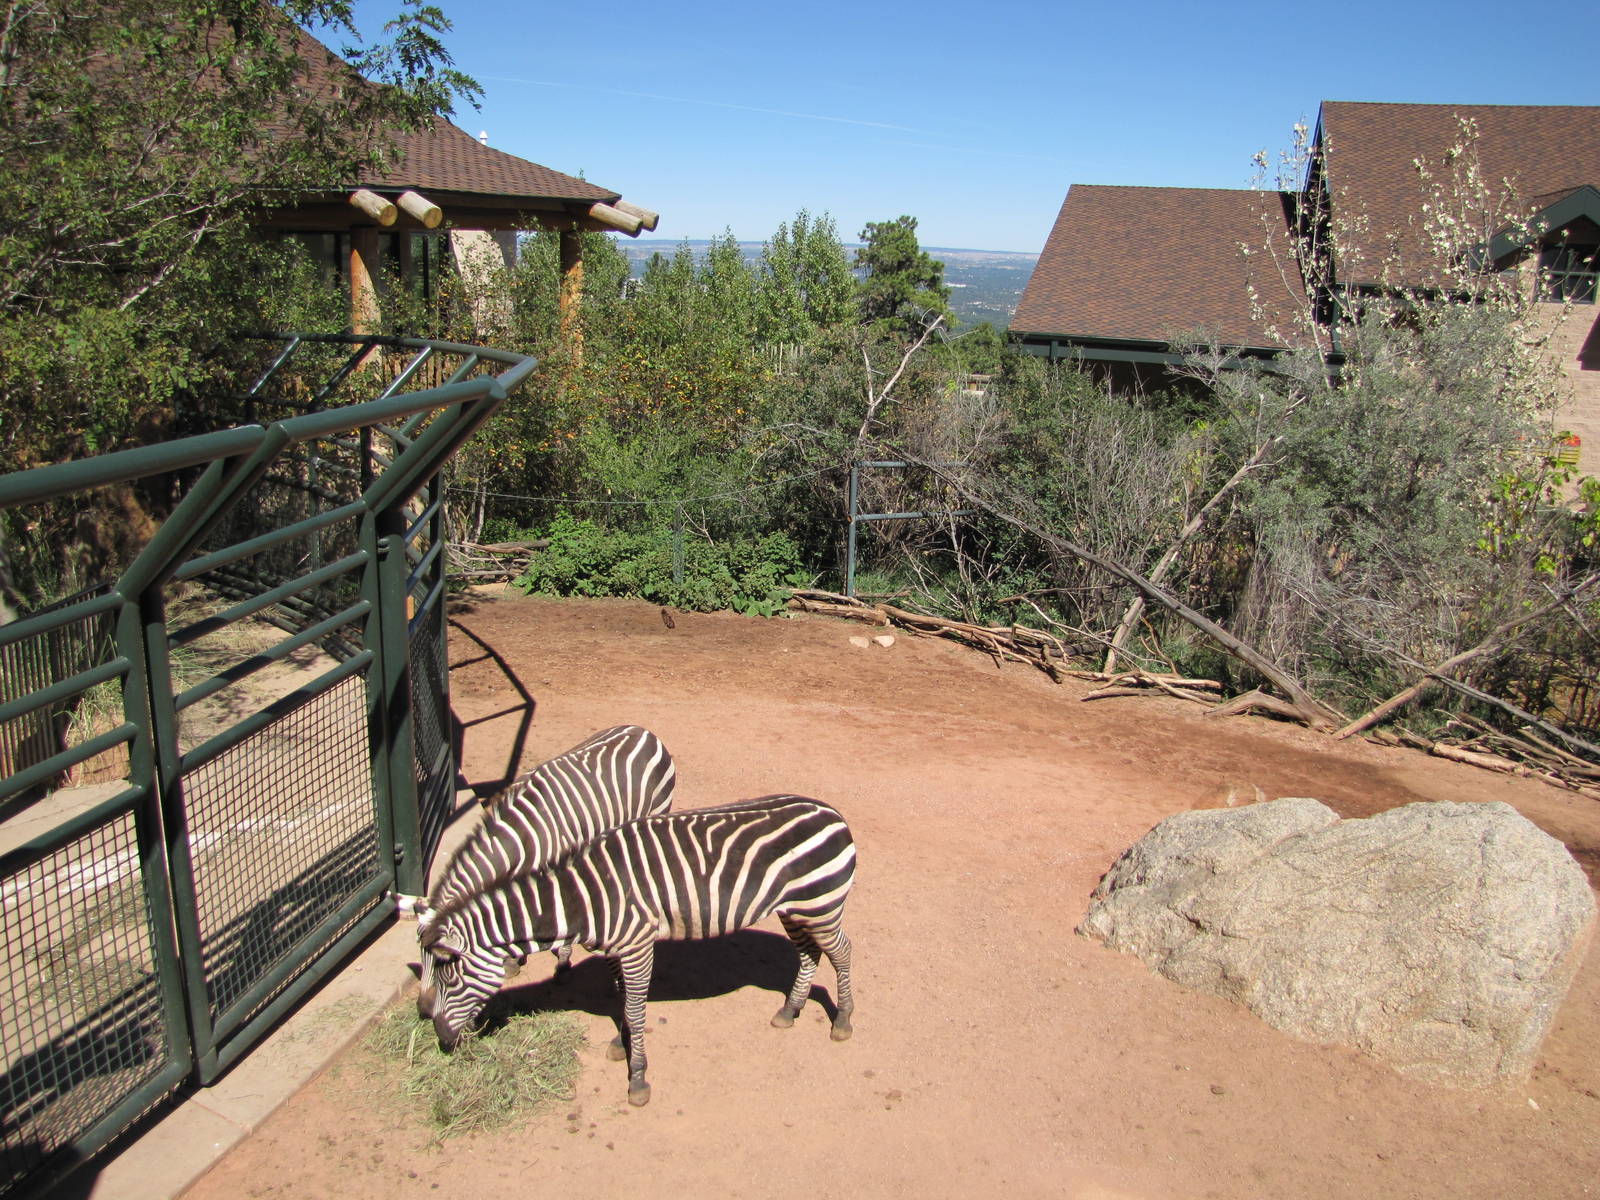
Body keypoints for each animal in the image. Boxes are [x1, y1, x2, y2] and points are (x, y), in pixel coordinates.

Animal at [416, 724, 675, 979]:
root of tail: (643, 731)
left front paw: (562, 958)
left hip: (658, 808)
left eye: (446, 962)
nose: (425, 996)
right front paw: (513, 958)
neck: (521, 839)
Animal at [417, 794, 856, 1107]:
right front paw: (621, 1041)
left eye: (449, 974)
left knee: (842, 953)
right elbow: (622, 998)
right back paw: (789, 1010)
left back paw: (843, 1021)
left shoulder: (638, 944)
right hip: (794, 908)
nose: (439, 1037)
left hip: (821, 905)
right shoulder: (616, 948)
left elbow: (635, 1007)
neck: (582, 899)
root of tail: (831, 812)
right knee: (809, 955)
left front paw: (639, 1078)